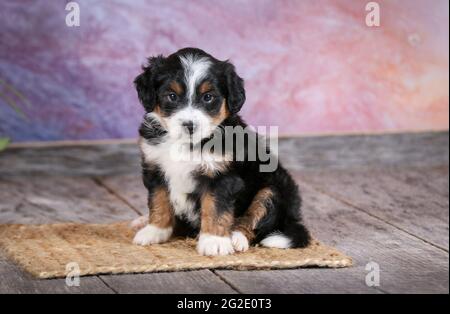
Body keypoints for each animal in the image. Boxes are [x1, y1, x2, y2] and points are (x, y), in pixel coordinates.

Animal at [132, 47, 312, 256]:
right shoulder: (155, 168)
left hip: (274, 190)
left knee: (256, 219)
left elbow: (215, 209)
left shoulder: (221, 176)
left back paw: (236, 237)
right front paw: (154, 231)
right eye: (172, 96)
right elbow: (159, 201)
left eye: (208, 97)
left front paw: (214, 241)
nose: (189, 125)